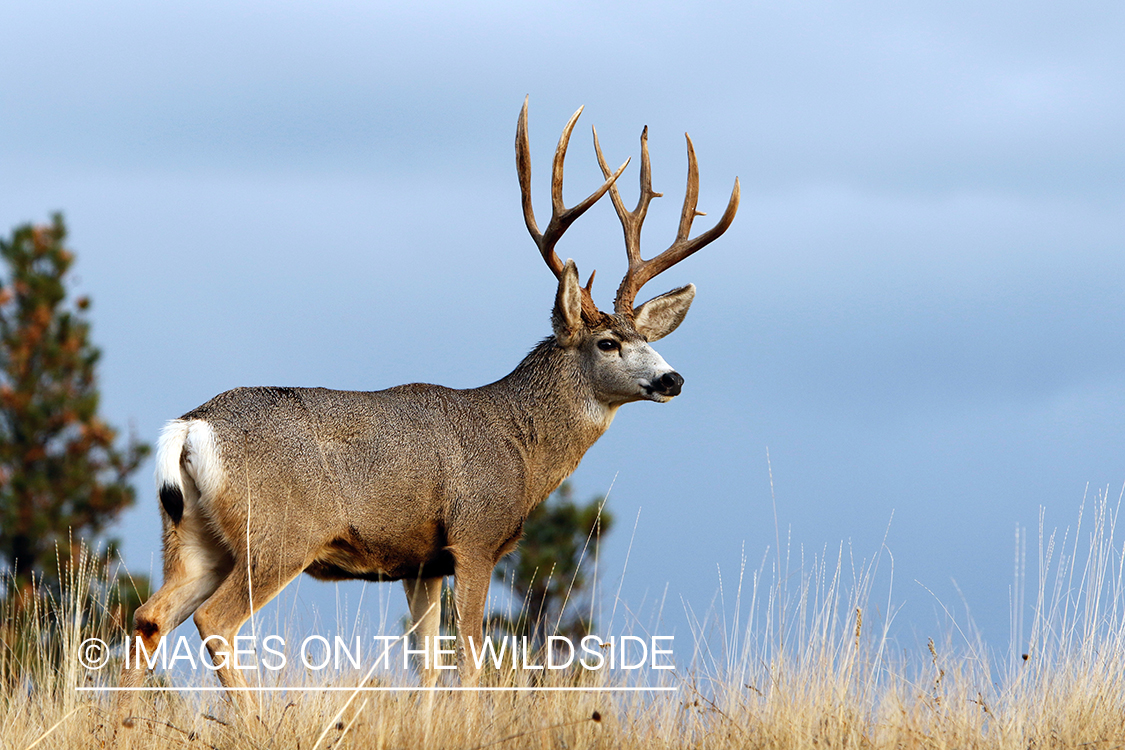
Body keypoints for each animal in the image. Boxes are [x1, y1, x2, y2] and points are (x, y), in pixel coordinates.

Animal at [114, 99, 738, 719]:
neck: (519, 445)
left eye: (646, 337)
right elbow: (471, 660)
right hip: (277, 533)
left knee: (149, 616)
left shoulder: (420, 562)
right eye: (608, 343)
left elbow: (428, 667)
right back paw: (254, 720)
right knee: (213, 620)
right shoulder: (475, 537)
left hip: (194, 538)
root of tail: (192, 427)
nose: (673, 378)